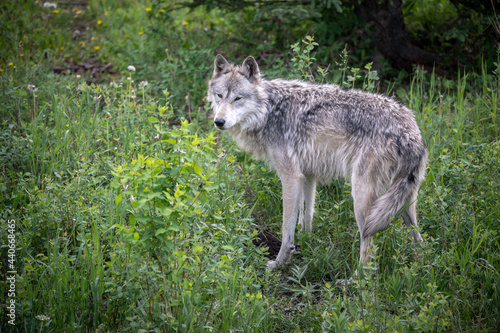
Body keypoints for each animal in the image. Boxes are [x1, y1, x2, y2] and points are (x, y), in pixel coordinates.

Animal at [209, 53, 428, 268]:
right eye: (219, 96)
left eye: (238, 98)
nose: (218, 122)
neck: (269, 111)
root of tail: (410, 132)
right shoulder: (307, 176)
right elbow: (306, 215)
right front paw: (305, 241)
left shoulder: (290, 177)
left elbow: (286, 228)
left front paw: (280, 262)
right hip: (403, 203)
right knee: (419, 241)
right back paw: (418, 269)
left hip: (362, 200)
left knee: (369, 249)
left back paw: (356, 278)